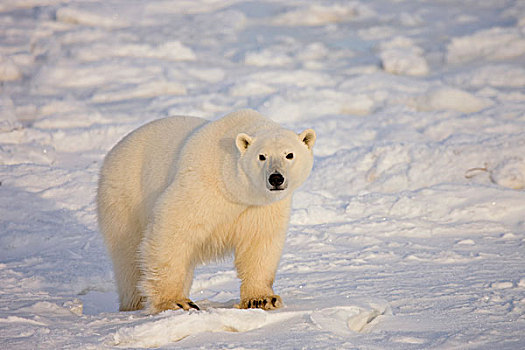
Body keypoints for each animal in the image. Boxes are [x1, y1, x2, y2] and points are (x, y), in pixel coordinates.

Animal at [95, 110, 314, 314]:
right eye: (262, 156)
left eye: (289, 155)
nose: (276, 178)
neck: (232, 185)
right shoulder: (200, 185)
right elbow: (172, 230)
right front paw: (175, 302)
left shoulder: (260, 207)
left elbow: (259, 242)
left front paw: (261, 299)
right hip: (125, 196)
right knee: (129, 255)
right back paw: (134, 304)